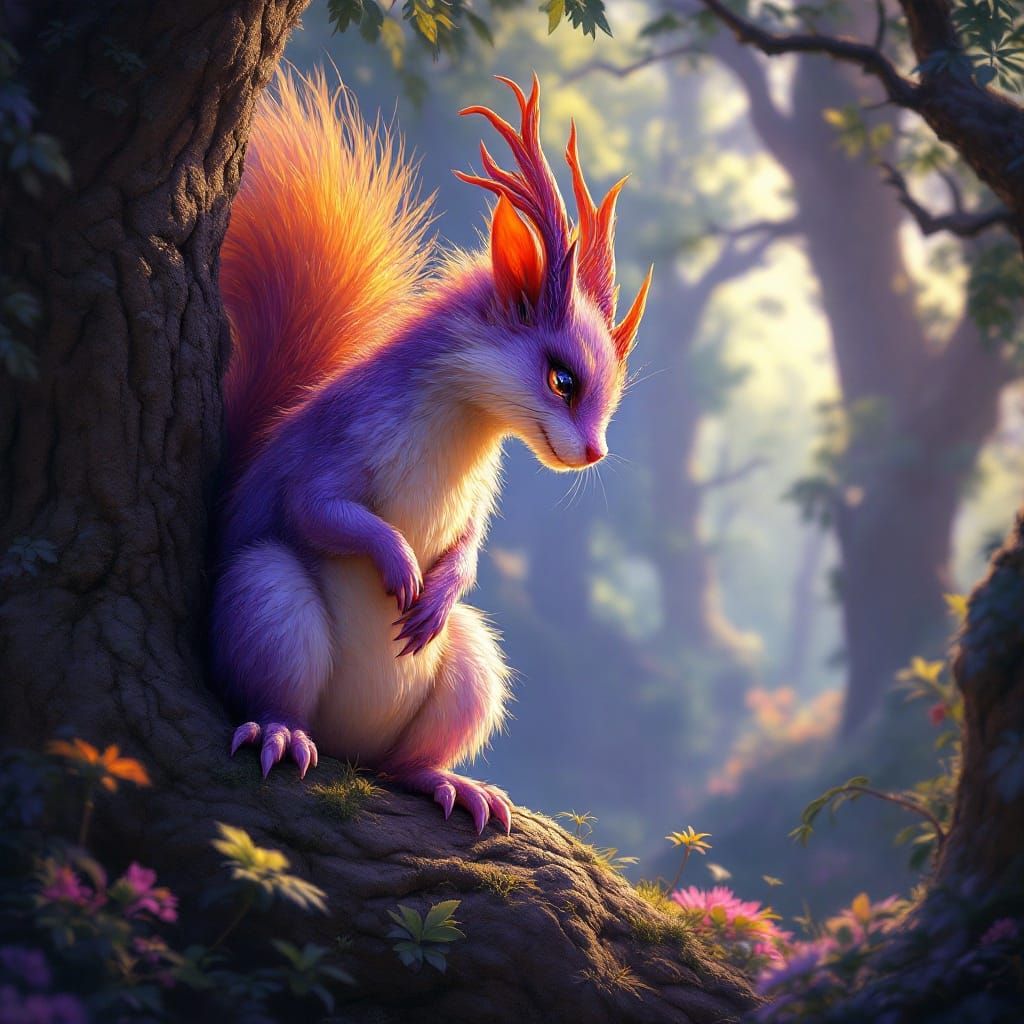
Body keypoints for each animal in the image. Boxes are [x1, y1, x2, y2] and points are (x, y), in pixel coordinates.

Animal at [211, 69, 651, 834]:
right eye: (562, 379)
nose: (594, 453)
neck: (465, 428)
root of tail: (349, 744)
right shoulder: (334, 446)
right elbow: (318, 510)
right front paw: (401, 567)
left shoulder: (479, 497)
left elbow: (470, 544)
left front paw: (437, 591)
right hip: (266, 600)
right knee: (275, 694)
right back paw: (280, 733)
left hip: (474, 664)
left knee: (404, 762)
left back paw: (453, 784)